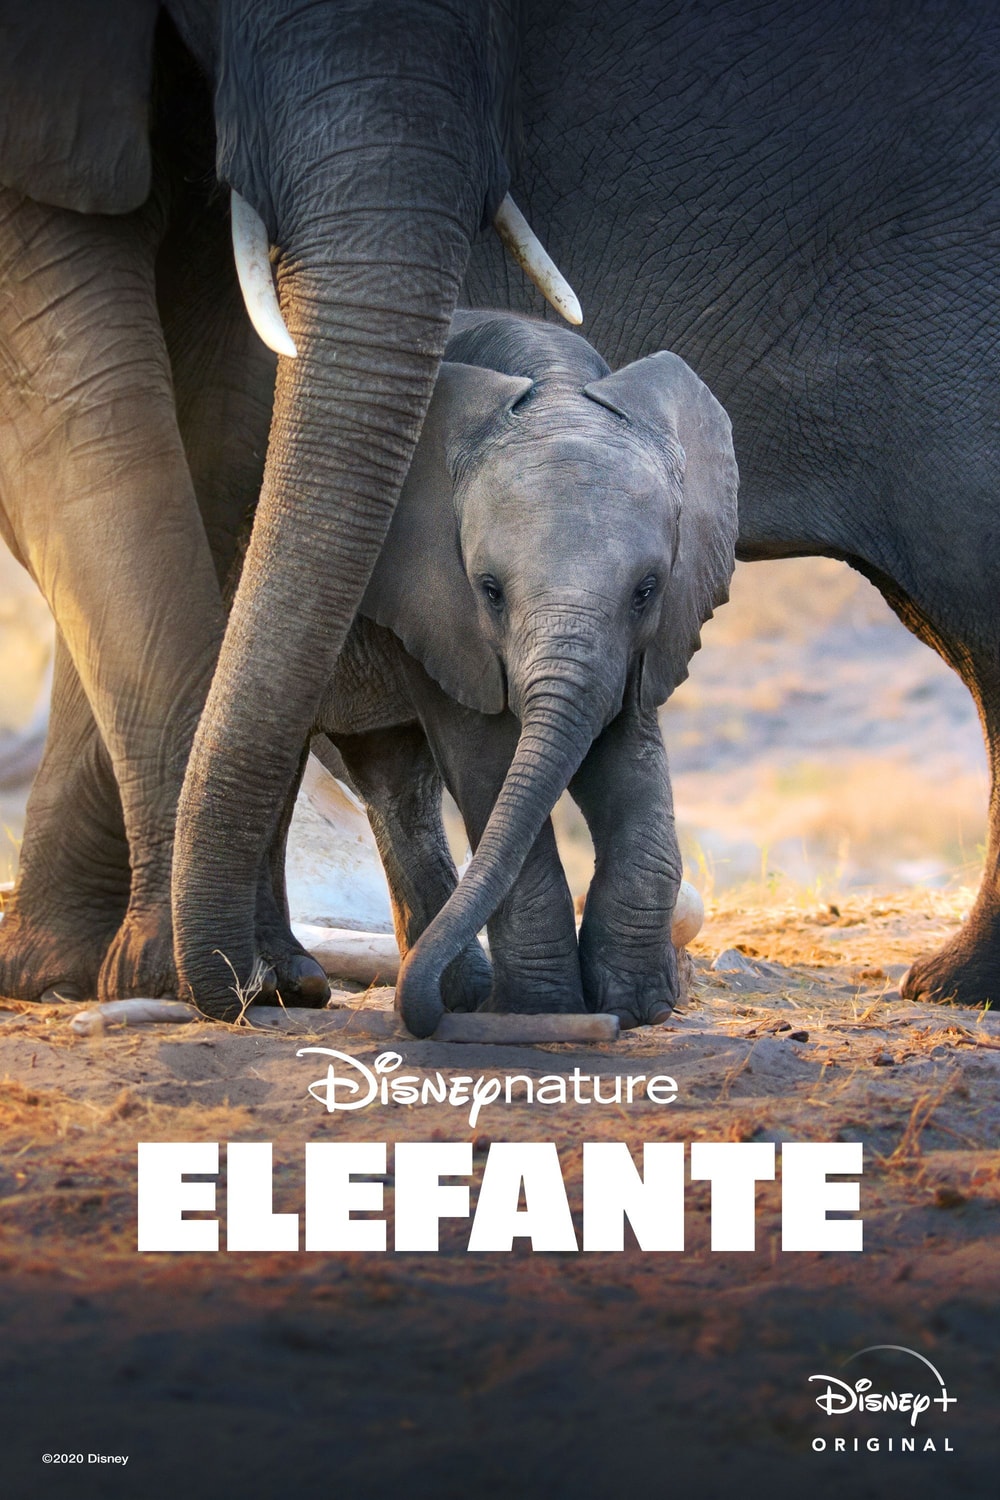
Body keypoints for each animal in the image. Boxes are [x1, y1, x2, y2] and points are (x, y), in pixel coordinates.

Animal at [315, 310, 737, 1036]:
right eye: (489, 591)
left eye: (647, 590)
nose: (418, 1016)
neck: (554, 383)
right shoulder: (434, 600)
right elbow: (488, 760)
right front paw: (545, 1012)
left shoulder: (642, 645)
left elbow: (627, 756)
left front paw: (638, 1009)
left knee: (392, 780)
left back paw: (457, 993)